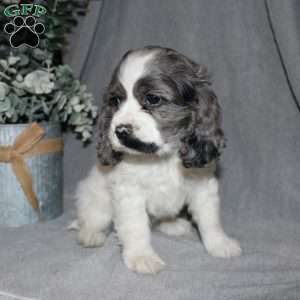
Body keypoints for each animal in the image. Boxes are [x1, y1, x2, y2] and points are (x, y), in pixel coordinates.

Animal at [74, 46, 243, 274]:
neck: (162, 157)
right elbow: (135, 227)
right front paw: (141, 256)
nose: (120, 130)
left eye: (153, 99)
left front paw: (219, 244)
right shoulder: (129, 193)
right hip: (96, 200)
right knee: (92, 218)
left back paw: (172, 224)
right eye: (115, 101)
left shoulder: (203, 186)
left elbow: (210, 219)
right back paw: (90, 234)